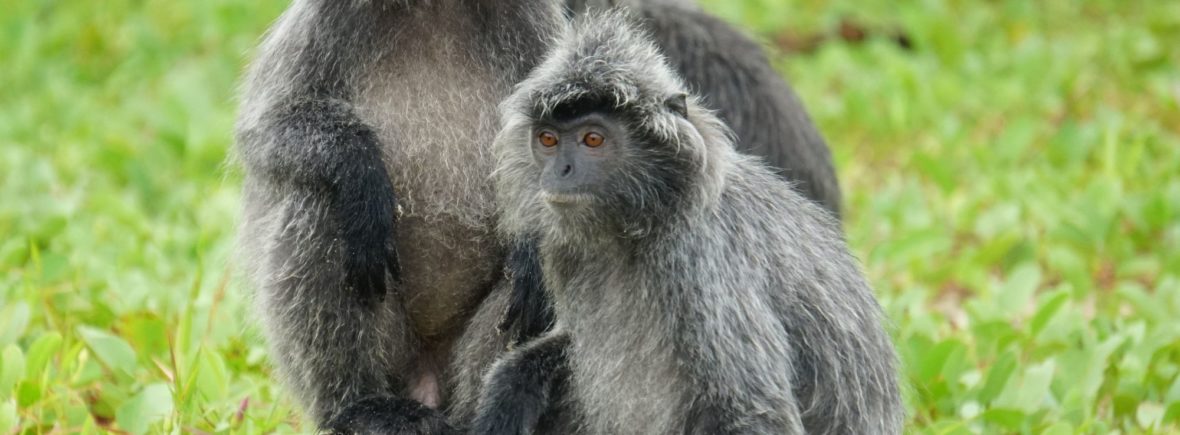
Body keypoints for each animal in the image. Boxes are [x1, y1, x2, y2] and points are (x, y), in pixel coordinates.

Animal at [469, 11, 901, 433]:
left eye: (593, 139)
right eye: (548, 140)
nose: (560, 171)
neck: (641, 223)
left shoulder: (702, 259)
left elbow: (753, 409)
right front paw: (512, 387)